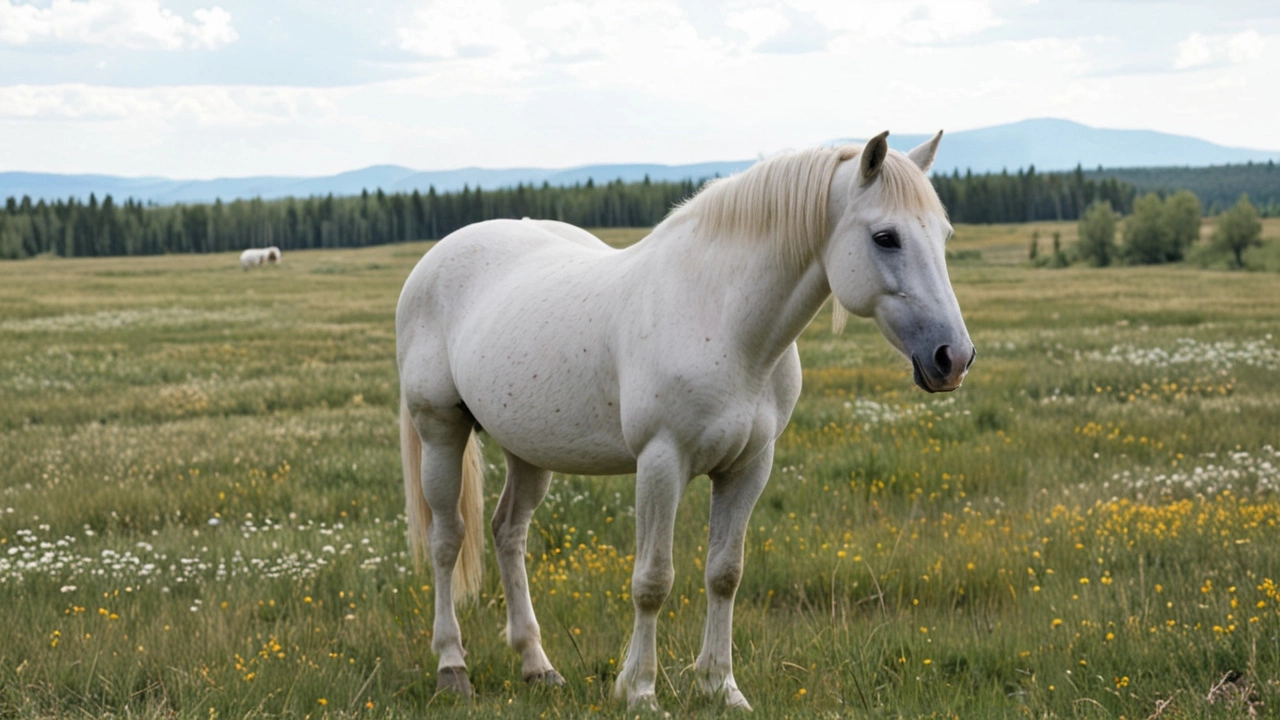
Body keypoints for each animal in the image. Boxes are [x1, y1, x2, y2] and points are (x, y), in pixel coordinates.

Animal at [394, 131, 972, 707]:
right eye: (885, 237)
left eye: (944, 234)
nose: (953, 358)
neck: (725, 322)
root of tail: (436, 258)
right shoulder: (661, 462)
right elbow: (652, 580)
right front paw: (640, 691)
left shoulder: (749, 467)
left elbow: (725, 574)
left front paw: (721, 687)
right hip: (440, 430)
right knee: (448, 539)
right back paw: (452, 667)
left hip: (529, 449)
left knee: (508, 533)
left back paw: (538, 666)